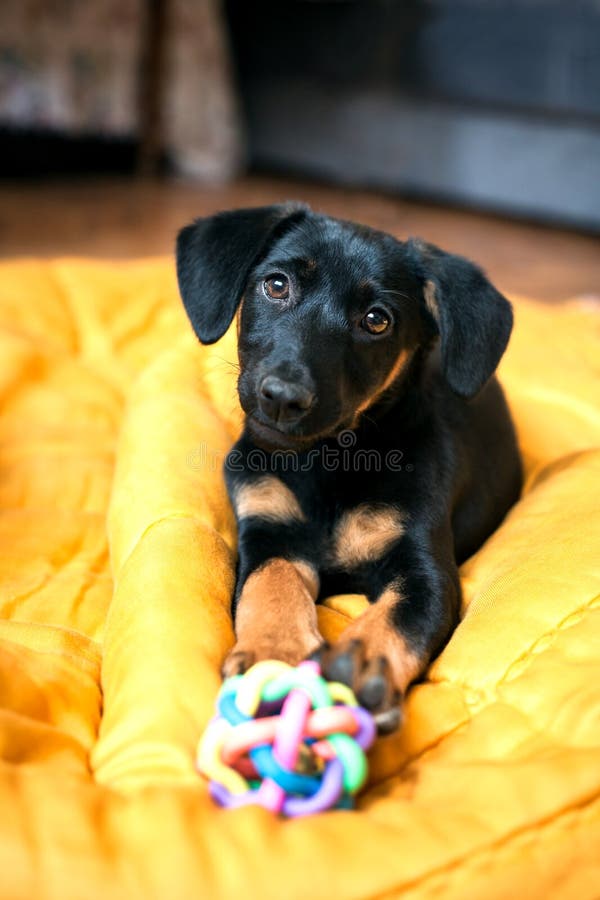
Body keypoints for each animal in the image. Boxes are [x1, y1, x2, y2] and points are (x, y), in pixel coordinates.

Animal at [176, 204, 524, 732]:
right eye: (276, 285)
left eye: (376, 320)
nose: (282, 398)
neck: (326, 461)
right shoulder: (267, 530)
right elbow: (269, 584)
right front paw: (273, 654)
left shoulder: (426, 566)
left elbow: (401, 616)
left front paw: (361, 665)